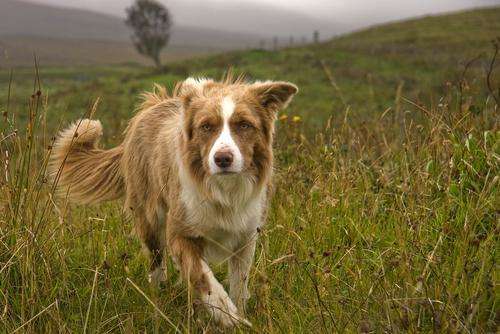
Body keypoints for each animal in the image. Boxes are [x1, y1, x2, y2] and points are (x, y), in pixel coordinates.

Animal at [47, 75, 296, 326]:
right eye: (206, 126)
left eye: (244, 125)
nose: (222, 159)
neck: (222, 191)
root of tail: (154, 104)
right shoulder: (179, 233)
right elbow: (203, 277)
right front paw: (227, 314)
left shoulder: (246, 236)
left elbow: (239, 283)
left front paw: (239, 315)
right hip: (149, 218)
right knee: (156, 264)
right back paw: (158, 299)